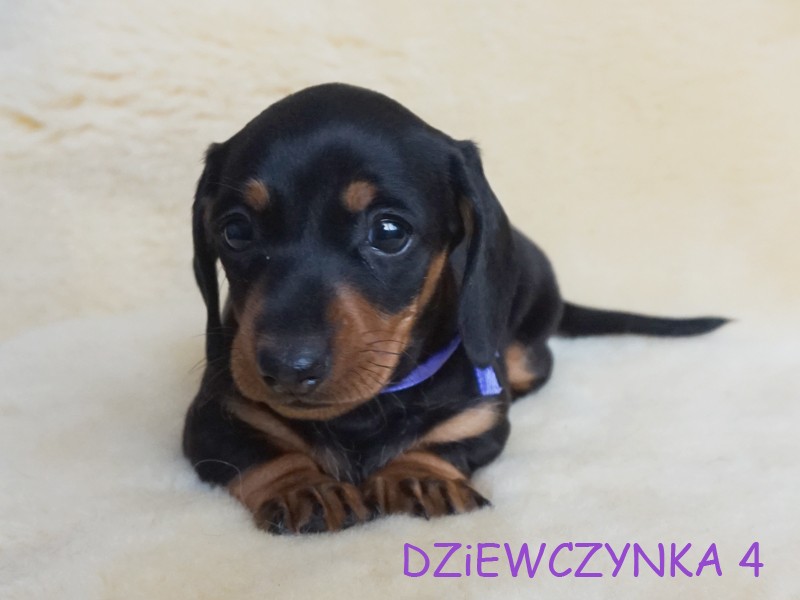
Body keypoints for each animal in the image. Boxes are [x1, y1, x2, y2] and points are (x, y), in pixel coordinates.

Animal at [183, 83, 726, 534]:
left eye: (389, 232)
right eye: (236, 231)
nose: (287, 368)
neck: (367, 409)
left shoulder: (478, 419)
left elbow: (444, 440)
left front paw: (420, 476)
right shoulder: (215, 416)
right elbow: (260, 452)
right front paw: (306, 486)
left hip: (524, 348)